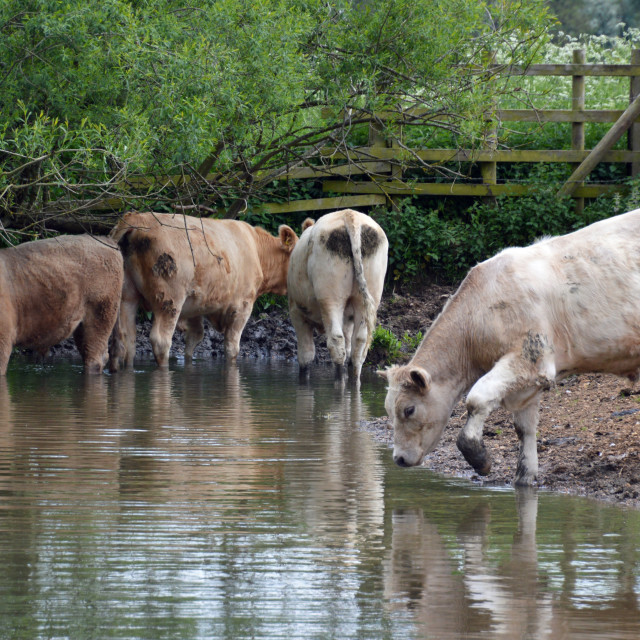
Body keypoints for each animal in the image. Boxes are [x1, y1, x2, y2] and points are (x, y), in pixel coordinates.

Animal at [109, 212, 298, 368]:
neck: (258, 252)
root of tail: (136, 220)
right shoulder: (242, 305)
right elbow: (232, 347)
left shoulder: (195, 307)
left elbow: (195, 337)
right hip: (170, 299)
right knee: (160, 341)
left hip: (126, 297)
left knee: (127, 339)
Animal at [288, 209, 388, 380]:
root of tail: (350, 215)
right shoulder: (348, 318)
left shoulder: (297, 312)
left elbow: (306, 355)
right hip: (370, 295)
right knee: (358, 343)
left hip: (330, 297)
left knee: (336, 340)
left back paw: (340, 377)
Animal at [380, 210, 640, 484]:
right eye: (388, 410)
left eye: (409, 409)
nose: (398, 458)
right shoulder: (529, 381)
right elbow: (524, 429)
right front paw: (525, 476)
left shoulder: (531, 358)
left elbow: (476, 399)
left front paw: (477, 456)